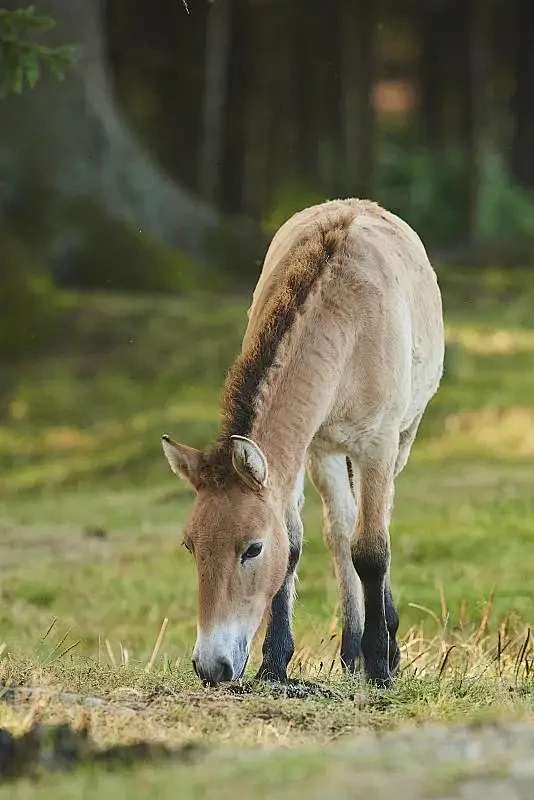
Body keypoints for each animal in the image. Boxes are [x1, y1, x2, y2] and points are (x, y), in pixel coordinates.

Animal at [161, 200, 446, 688]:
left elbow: (372, 551)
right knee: (341, 531)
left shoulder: (378, 446)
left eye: (252, 549)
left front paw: (380, 667)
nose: (211, 667)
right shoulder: (307, 450)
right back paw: (351, 651)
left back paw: (383, 647)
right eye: (190, 546)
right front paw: (275, 664)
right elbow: (297, 546)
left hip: (401, 442)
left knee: (375, 525)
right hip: (330, 455)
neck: (348, 323)